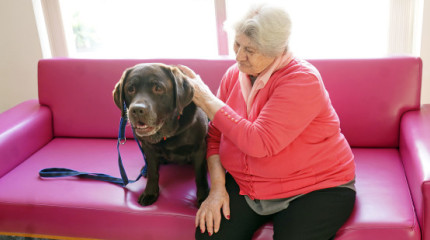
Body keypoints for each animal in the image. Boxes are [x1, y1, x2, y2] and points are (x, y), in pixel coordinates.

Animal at [112, 63, 210, 206]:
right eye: (130, 89)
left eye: (158, 88)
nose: (137, 110)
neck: (169, 131)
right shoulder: (148, 148)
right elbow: (153, 172)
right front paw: (150, 193)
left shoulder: (199, 147)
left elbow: (200, 175)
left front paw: (204, 199)